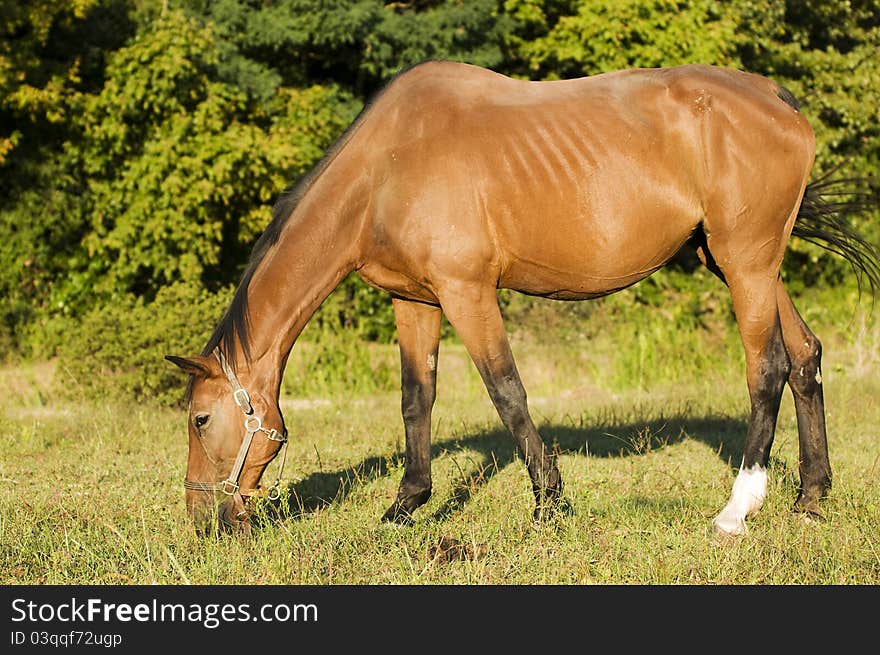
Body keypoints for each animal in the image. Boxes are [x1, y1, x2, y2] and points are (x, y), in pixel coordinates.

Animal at [167, 61, 880, 540]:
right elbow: (416, 399)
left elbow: (506, 391)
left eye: (200, 419)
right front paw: (405, 506)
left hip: (745, 263)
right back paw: (810, 498)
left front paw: (549, 505)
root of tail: (773, 97)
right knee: (806, 357)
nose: (204, 519)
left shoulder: (468, 294)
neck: (386, 169)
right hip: (744, 264)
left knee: (767, 368)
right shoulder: (415, 302)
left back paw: (738, 509)